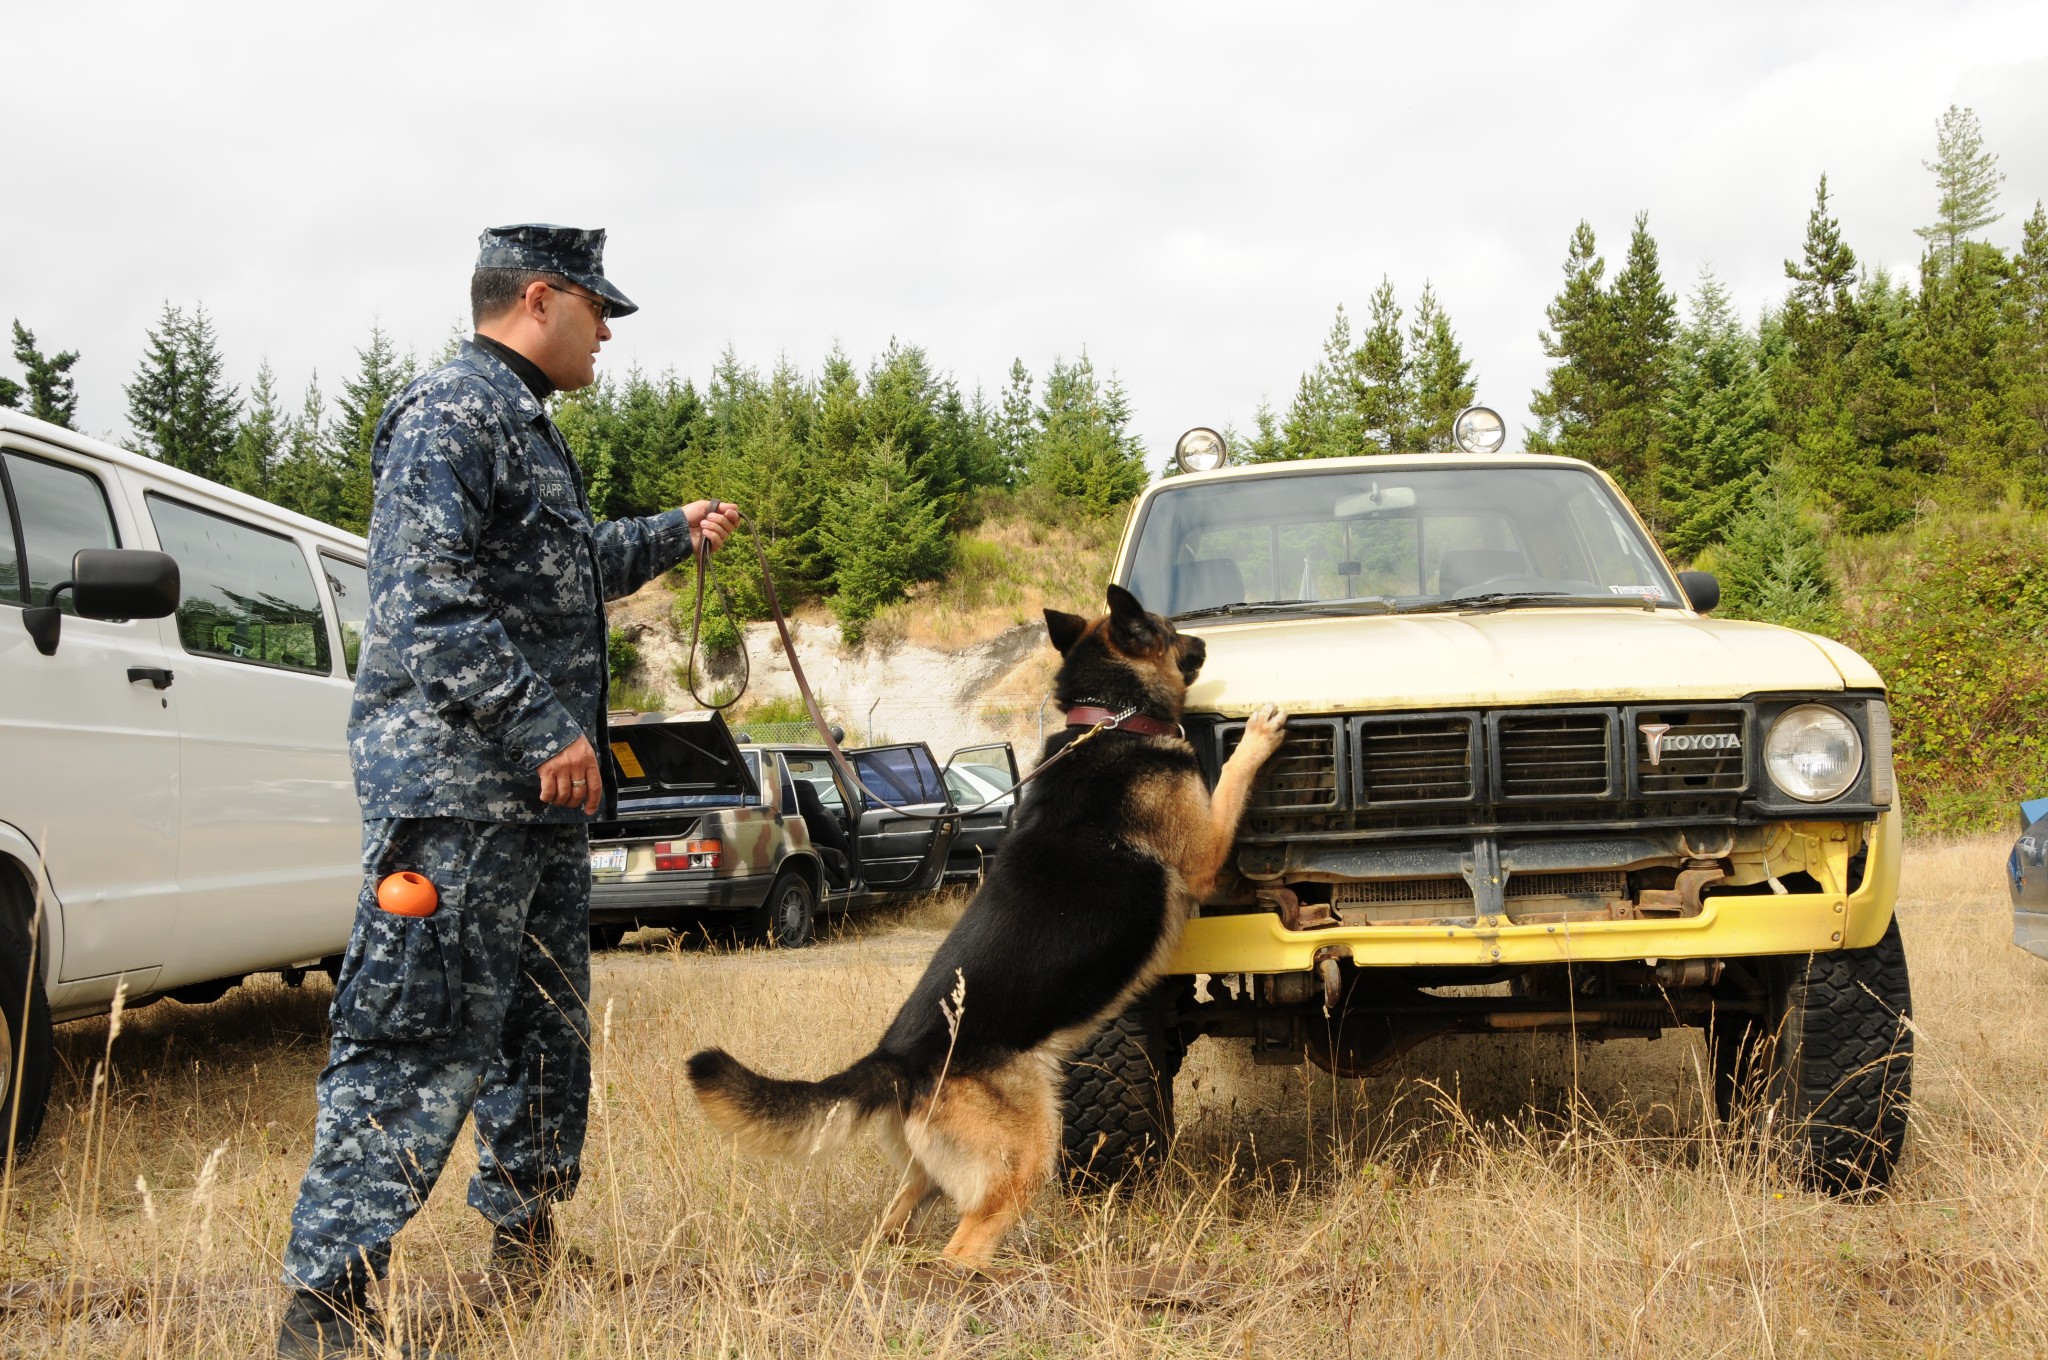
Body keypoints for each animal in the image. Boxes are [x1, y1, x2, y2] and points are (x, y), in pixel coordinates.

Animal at [696, 585, 1286, 1278]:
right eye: (1167, 630)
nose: (1202, 642)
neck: (1111, 718)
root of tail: (894, 1059)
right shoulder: (1205, 855)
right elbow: (1235, 785)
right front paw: (1259, 734)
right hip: (1026, 1151)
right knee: (965, 1243)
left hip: (925, 1177)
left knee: (897, 1223)